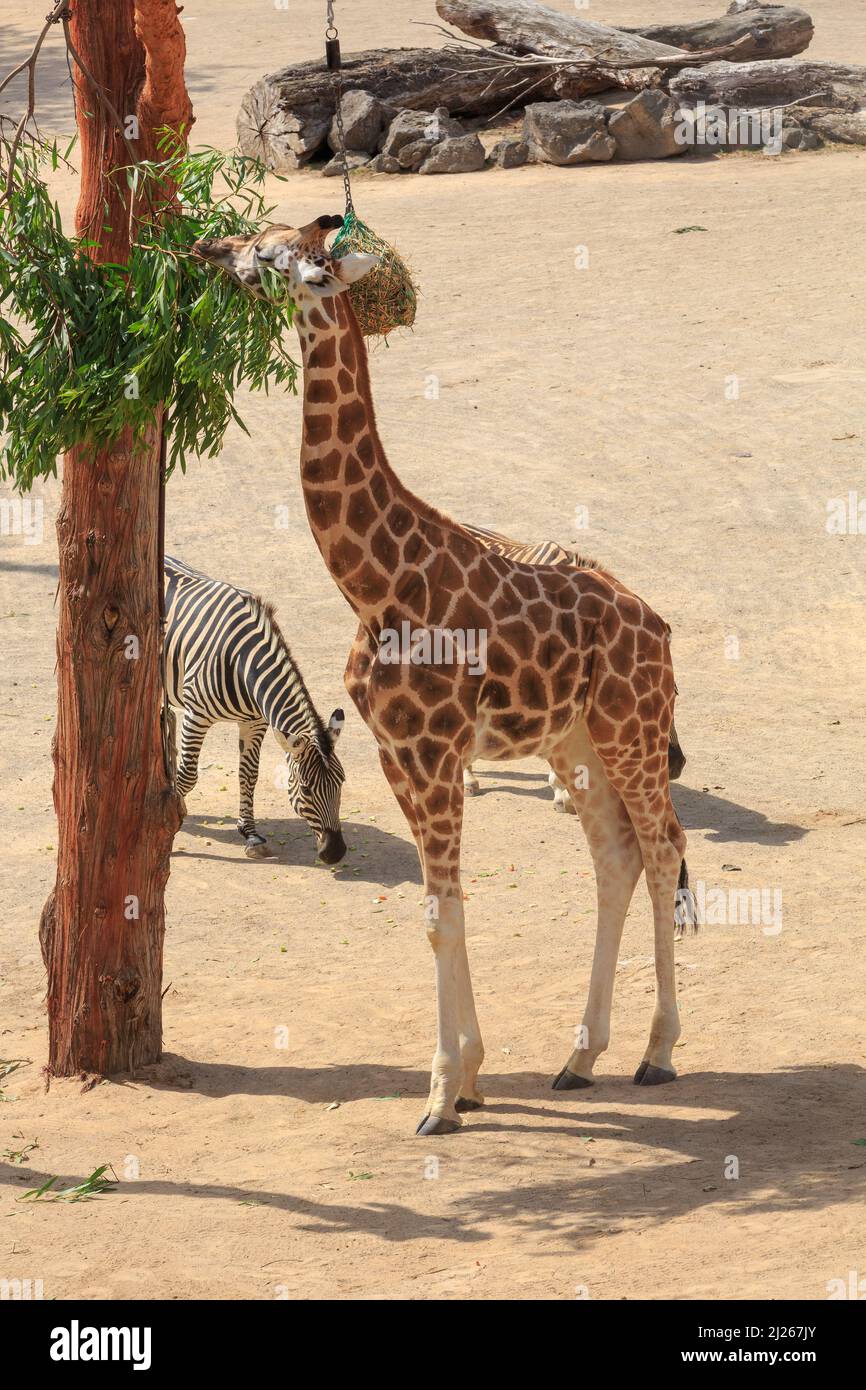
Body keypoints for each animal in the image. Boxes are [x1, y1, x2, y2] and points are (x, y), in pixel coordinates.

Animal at [164, 555, 347, 863]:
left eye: (342, 782)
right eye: (307, 789)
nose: (336, 853)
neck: (242, 663)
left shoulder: (254, 723)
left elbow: (248, 776)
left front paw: (250, 834)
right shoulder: (196, 714)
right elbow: (188, 775)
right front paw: (169, 823)